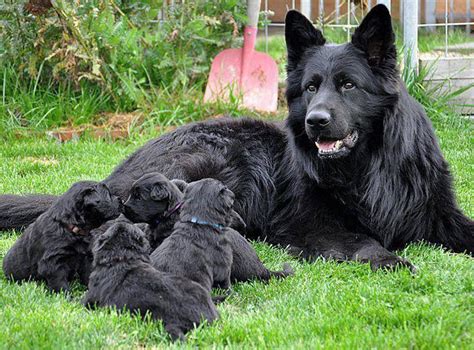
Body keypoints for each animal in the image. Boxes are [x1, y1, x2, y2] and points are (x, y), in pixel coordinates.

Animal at [0, 5, 472, 270]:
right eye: (311, 87)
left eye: (348, 85)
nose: (315, 121)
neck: (368, 169)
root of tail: (115, 178)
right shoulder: (313, 223)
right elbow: (362, 241)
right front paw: (387, 257)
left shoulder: (437, 212)